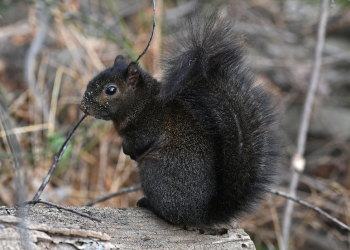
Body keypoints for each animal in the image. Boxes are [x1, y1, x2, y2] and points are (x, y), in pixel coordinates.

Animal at [79, 13, 282, 227]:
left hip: (154, 173)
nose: (83, 107)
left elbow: (139, 142)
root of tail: (201, 215)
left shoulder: (150, 126)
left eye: (111, 90)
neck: (140, 104)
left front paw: (128, 150)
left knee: (171, 217)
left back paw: (148, 204)